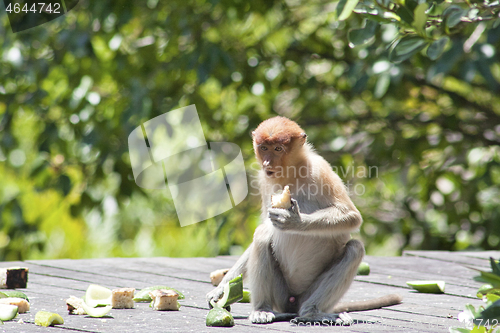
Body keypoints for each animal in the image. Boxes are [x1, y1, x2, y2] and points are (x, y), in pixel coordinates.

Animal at [207, 116, 402, 322]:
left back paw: (311, 312)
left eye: (278, 149)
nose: (267, 163)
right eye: (264, 148)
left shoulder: (320, 169)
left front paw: (293, 222)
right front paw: (221, 290)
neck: (291, 172)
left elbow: (350, 216)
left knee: (355, 248)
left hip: (308, 292)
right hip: (281, 294)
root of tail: (293, 301)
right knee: (262, 235)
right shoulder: (263, 181)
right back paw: (262, 309)